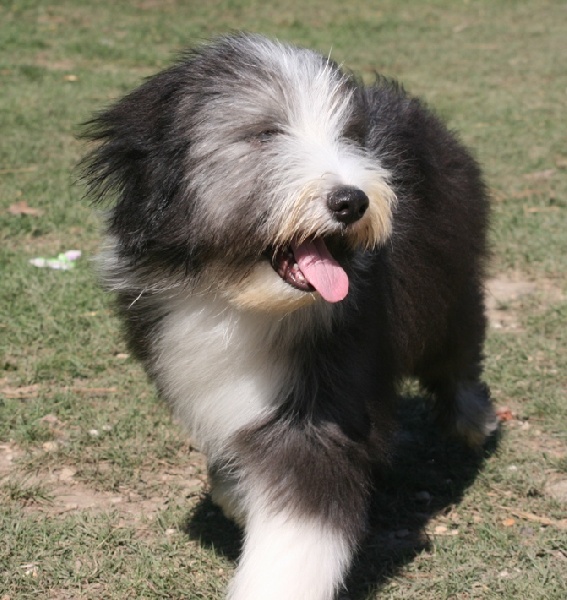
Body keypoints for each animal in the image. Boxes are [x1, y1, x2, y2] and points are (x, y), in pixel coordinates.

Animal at [82, 32, 500, 600]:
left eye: (349, 138)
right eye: (265, 133)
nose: (351, 201)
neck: (238, 298)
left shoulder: (325, 403)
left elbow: (300, 529)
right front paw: (237, 496)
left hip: (449, 286)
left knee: (457, 352)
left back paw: (472, 421)